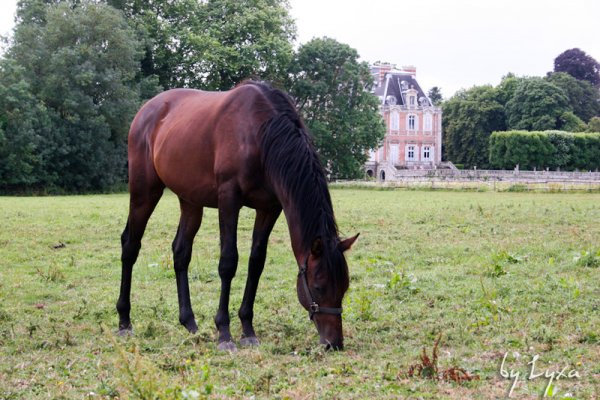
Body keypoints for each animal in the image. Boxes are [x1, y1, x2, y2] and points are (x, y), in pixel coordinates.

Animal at [119, 81, 358, 350]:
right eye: (318, 286)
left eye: (345, 286)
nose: (334, 343)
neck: (260, 134)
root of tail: (147, 110)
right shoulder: (229, 199)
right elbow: (228, 261)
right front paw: (224, 331)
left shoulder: (269, 208)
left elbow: (256, 263)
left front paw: (247, 328)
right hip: (144, 192)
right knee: (130, 245)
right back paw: (124, 321)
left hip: (190, 201)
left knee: (181, 252)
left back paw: (189, 322)